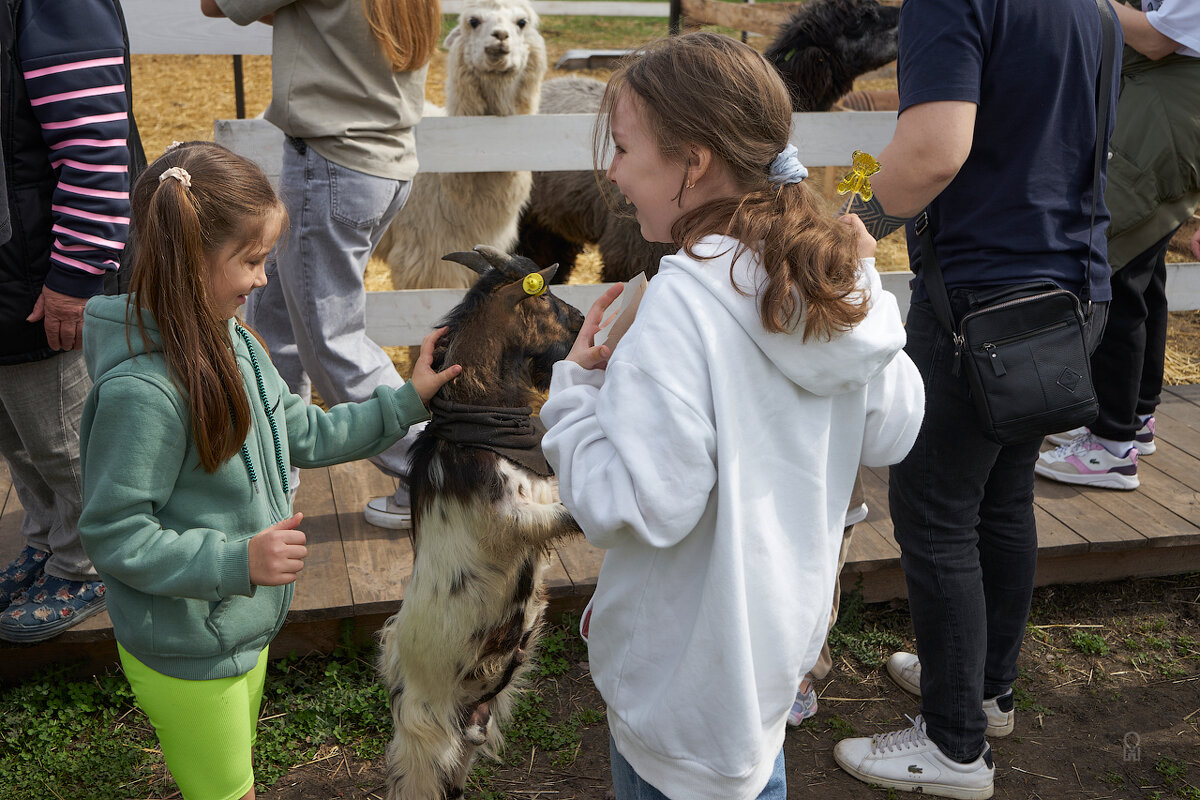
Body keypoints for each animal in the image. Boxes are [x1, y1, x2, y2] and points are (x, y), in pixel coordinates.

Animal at [374, 245, 580, 800]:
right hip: (426, 727)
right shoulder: (507, 519)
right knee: (418, 779)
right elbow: (558, 516)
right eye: (545, 294)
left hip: (478, 717)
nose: (580, 320)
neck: (483, 424)